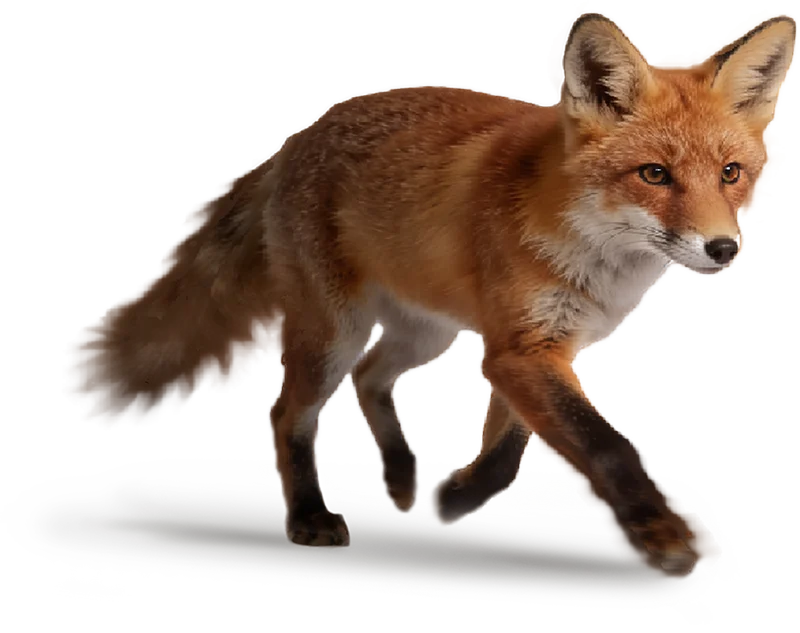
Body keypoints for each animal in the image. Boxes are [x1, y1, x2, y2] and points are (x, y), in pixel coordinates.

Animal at [62, 11, 798, 583]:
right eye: (654, 175)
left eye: (731, 173)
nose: (723, 248)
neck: (589, 251)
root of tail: (297, 138)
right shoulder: (520, 348)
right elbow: (607, 445)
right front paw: (672, 541)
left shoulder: (529, 347)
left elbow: (508, 452)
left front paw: (454, 501)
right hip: (335, 334)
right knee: (287, 411)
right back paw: (310, 515)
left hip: (427, 332)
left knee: (370, 379)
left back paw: (399, 476)